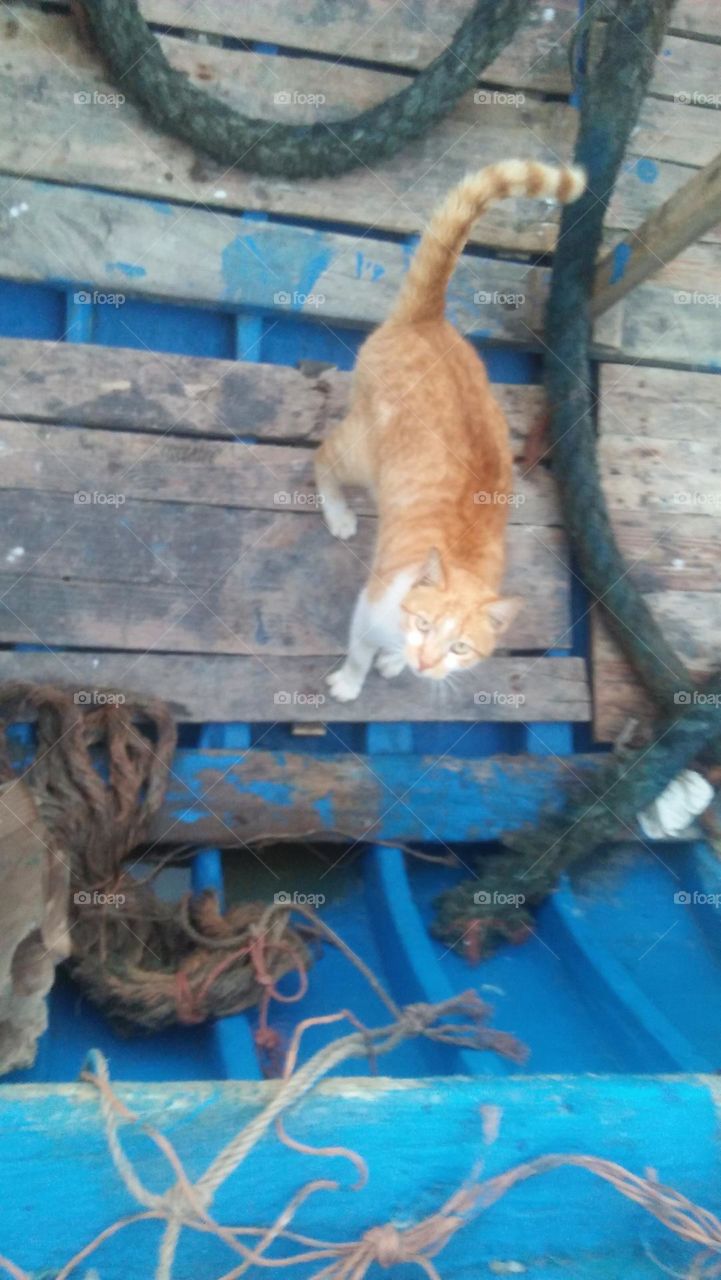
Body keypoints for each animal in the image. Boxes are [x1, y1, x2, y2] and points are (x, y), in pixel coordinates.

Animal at [316, 160, 586, 706]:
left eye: (459, 647)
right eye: (422, 624)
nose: (424, 662)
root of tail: (428, 317)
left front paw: (395, 663)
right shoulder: (369, 607)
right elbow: (358, 653)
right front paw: (353, 682)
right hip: (360, 451)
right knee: (322, 458)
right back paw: (337, 512)